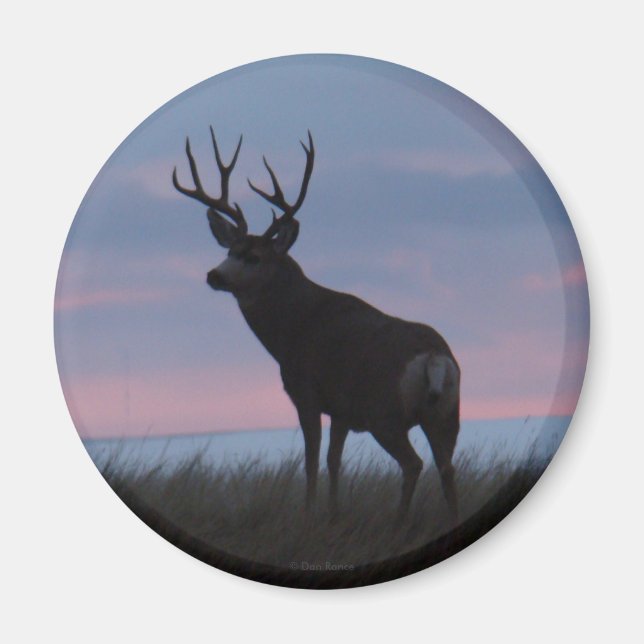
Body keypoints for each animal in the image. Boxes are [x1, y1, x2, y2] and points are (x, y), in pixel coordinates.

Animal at [172, 128, 461, 523]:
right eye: (229, 250)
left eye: (254, 256)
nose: (214, 275)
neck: (293, 329)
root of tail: (433, 356)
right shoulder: (341, 409)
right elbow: (334, 461)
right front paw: (334, 513)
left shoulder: (306, 392)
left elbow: (310, 461)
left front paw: (308, 513)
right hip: (447, 412)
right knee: (447, 469)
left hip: (385, 412)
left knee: (414, 464)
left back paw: (399, 521)